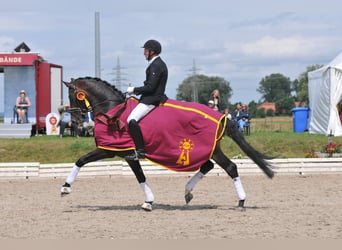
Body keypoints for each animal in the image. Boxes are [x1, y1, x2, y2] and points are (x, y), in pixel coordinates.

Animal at [60, 76, 274, 211]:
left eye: (73, 96)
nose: (78, 122)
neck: (112, 110)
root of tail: (221, 116)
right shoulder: (127, 155)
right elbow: (140, 177)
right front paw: (148, 202)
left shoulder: (109, 150)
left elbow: (81, 160)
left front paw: (65, 188)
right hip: (210, 150)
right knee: (213, 166)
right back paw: (189, 192)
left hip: (206, 149)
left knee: (228, 167)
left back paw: (241, 201)